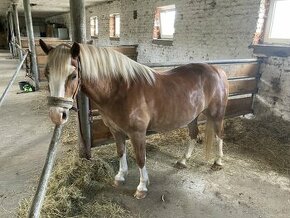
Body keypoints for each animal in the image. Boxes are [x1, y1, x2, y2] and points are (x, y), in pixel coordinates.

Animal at [39, 38, 229, 199]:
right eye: (47, 74)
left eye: (73, 75)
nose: (56, 115)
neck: (120, 90)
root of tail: (218, 70)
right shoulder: (116, 131)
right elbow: (121, 152)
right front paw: (120, 177)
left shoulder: (137, 133)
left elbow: (140, 158)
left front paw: (142, 187)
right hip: (192, 117)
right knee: (193, 135)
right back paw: (183, 161)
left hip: (217, 114)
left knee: (219, 135)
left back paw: (218, 162)